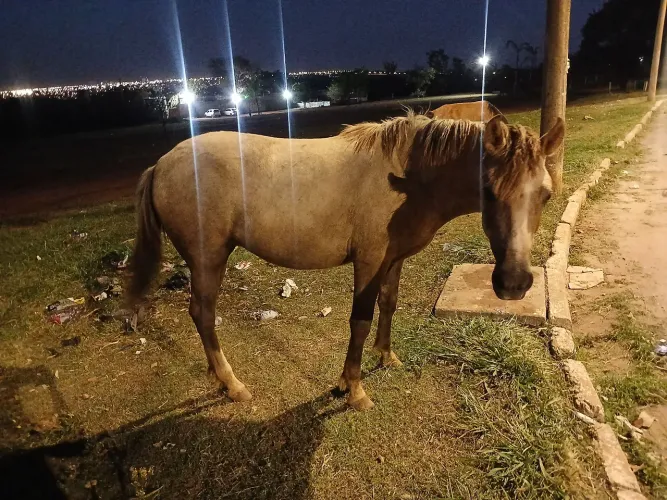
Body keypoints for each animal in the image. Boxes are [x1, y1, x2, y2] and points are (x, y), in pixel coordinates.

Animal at [127, 111, 564, 410]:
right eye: (489, 191)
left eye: (545, 193)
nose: (514, 283)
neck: (409, 179)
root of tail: (161, 164)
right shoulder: (368, 262)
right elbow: (360, 321)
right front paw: (353, 389)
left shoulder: (393, 259)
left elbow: (388, 305)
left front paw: (386, 357)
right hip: (208, 259)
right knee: (203, 315)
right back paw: (232, 384)